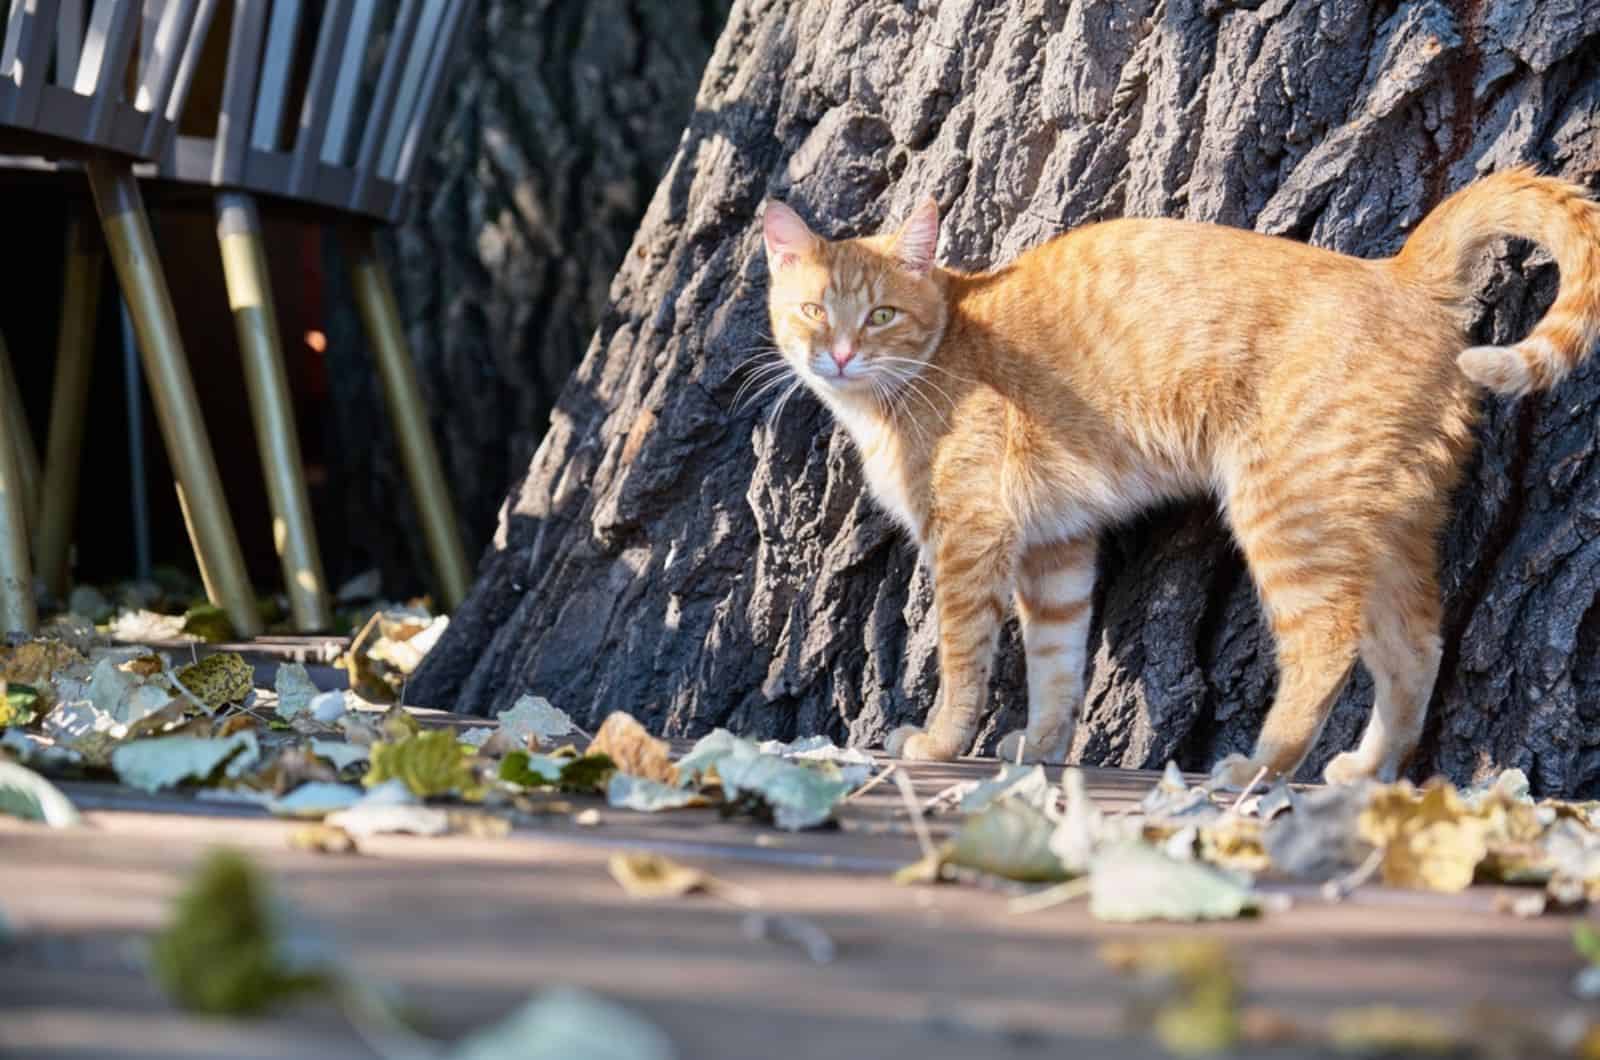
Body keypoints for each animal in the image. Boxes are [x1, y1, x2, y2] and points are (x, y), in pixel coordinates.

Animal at [758, 170, 1600, 787]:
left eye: (880, 316)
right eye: (812, 311)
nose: (837, 355)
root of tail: (1397, 274)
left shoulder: (969, 542)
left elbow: (964, 661)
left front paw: (936, 744)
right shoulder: (1056, 551)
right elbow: (1056, 662)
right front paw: (1042, 743)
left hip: (1289, 515)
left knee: (1325, 643)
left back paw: (1260, 765)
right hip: (1387, 530)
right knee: (1417, 648)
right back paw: (1366, 769)